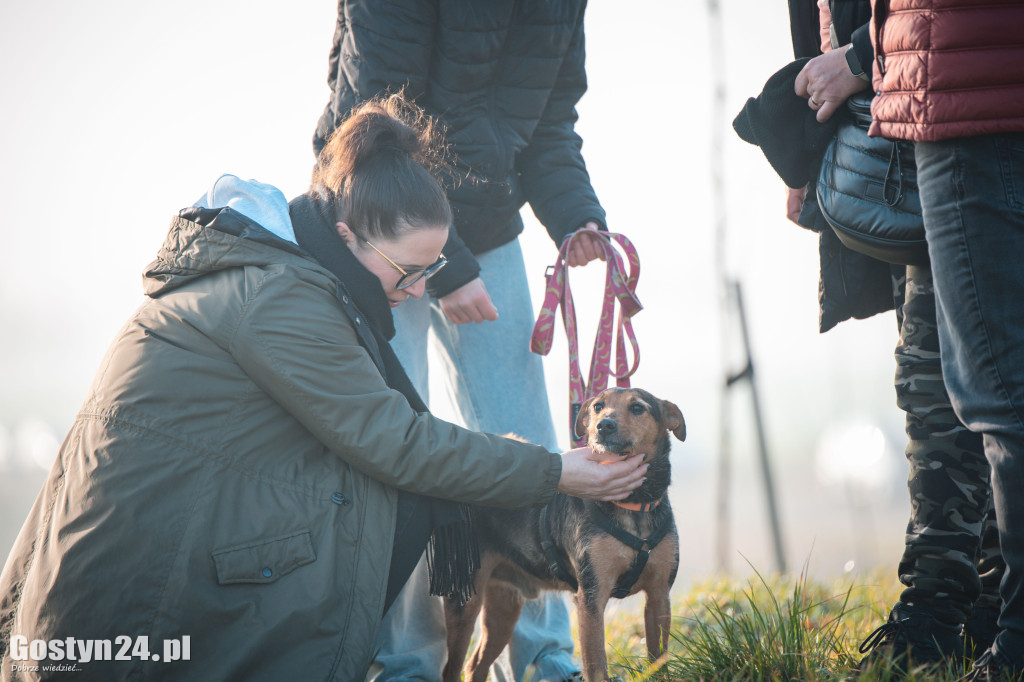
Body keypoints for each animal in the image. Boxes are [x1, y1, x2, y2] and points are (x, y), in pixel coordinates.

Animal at [444, 387, 684, 679]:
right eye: (598, 406)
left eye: (638, 408)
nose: (604, 425)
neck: (633, 505)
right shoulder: (591, 599)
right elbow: (596, 666)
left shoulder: (659, 595)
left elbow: (659, 659)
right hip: (463, 599)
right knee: (451, 668)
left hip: (503, 605)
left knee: (475, 664)